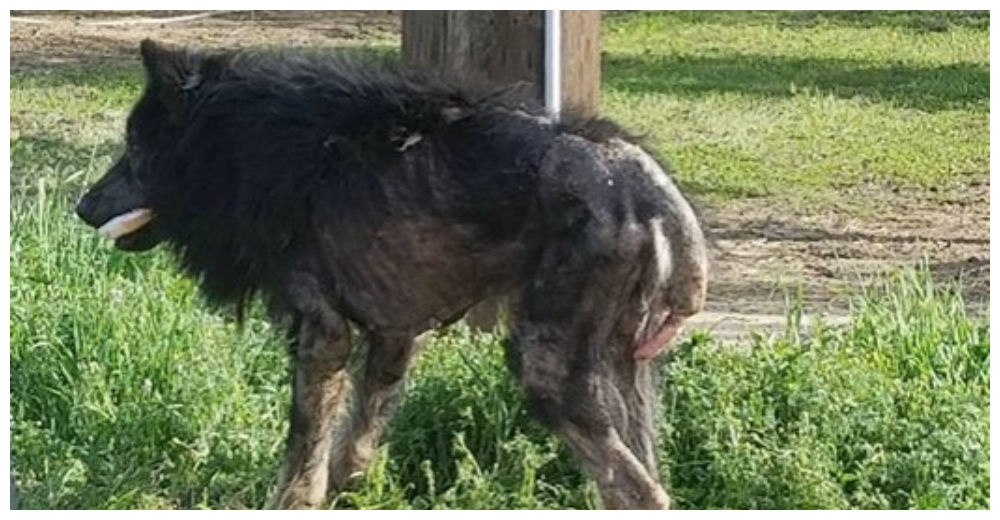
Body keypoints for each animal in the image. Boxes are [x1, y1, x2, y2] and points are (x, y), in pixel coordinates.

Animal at [74, 39, 708, 508]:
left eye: (135, 146)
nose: (82, 206)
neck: (247, 147)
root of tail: (652, 189)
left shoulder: (323, 335)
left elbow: (302, 454)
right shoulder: (395, 337)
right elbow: (353, 446)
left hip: (545, 368)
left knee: (637, 490)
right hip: (623, 375)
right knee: (650, 480)